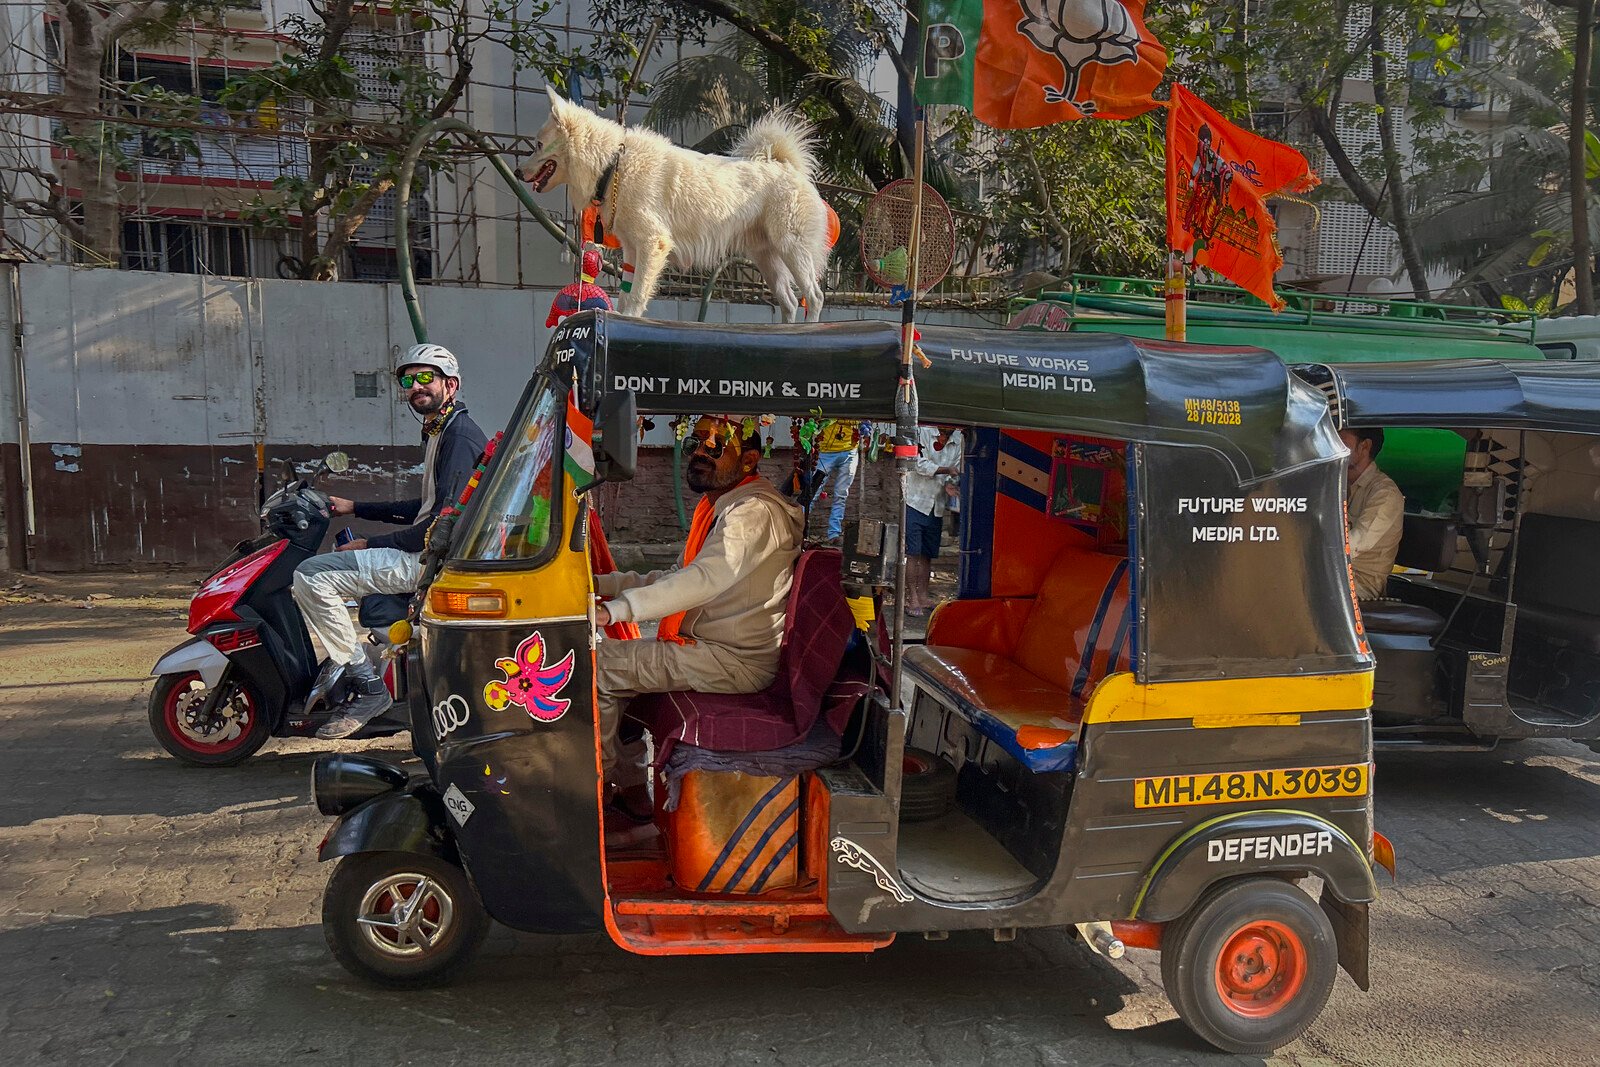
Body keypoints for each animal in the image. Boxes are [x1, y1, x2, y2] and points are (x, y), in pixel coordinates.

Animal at [518, 92, 838, 323]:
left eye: (538, 145)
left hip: (792, 247)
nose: (519, 172)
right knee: (790, 302)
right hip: (767, 257)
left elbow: (637, 294)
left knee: (814, 296)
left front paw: (631, 318)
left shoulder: (653, 244)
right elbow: (626, 291)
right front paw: (622, 316)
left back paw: (809, 329)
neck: (612, 164)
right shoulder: (633, 249)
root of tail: (789, 167)